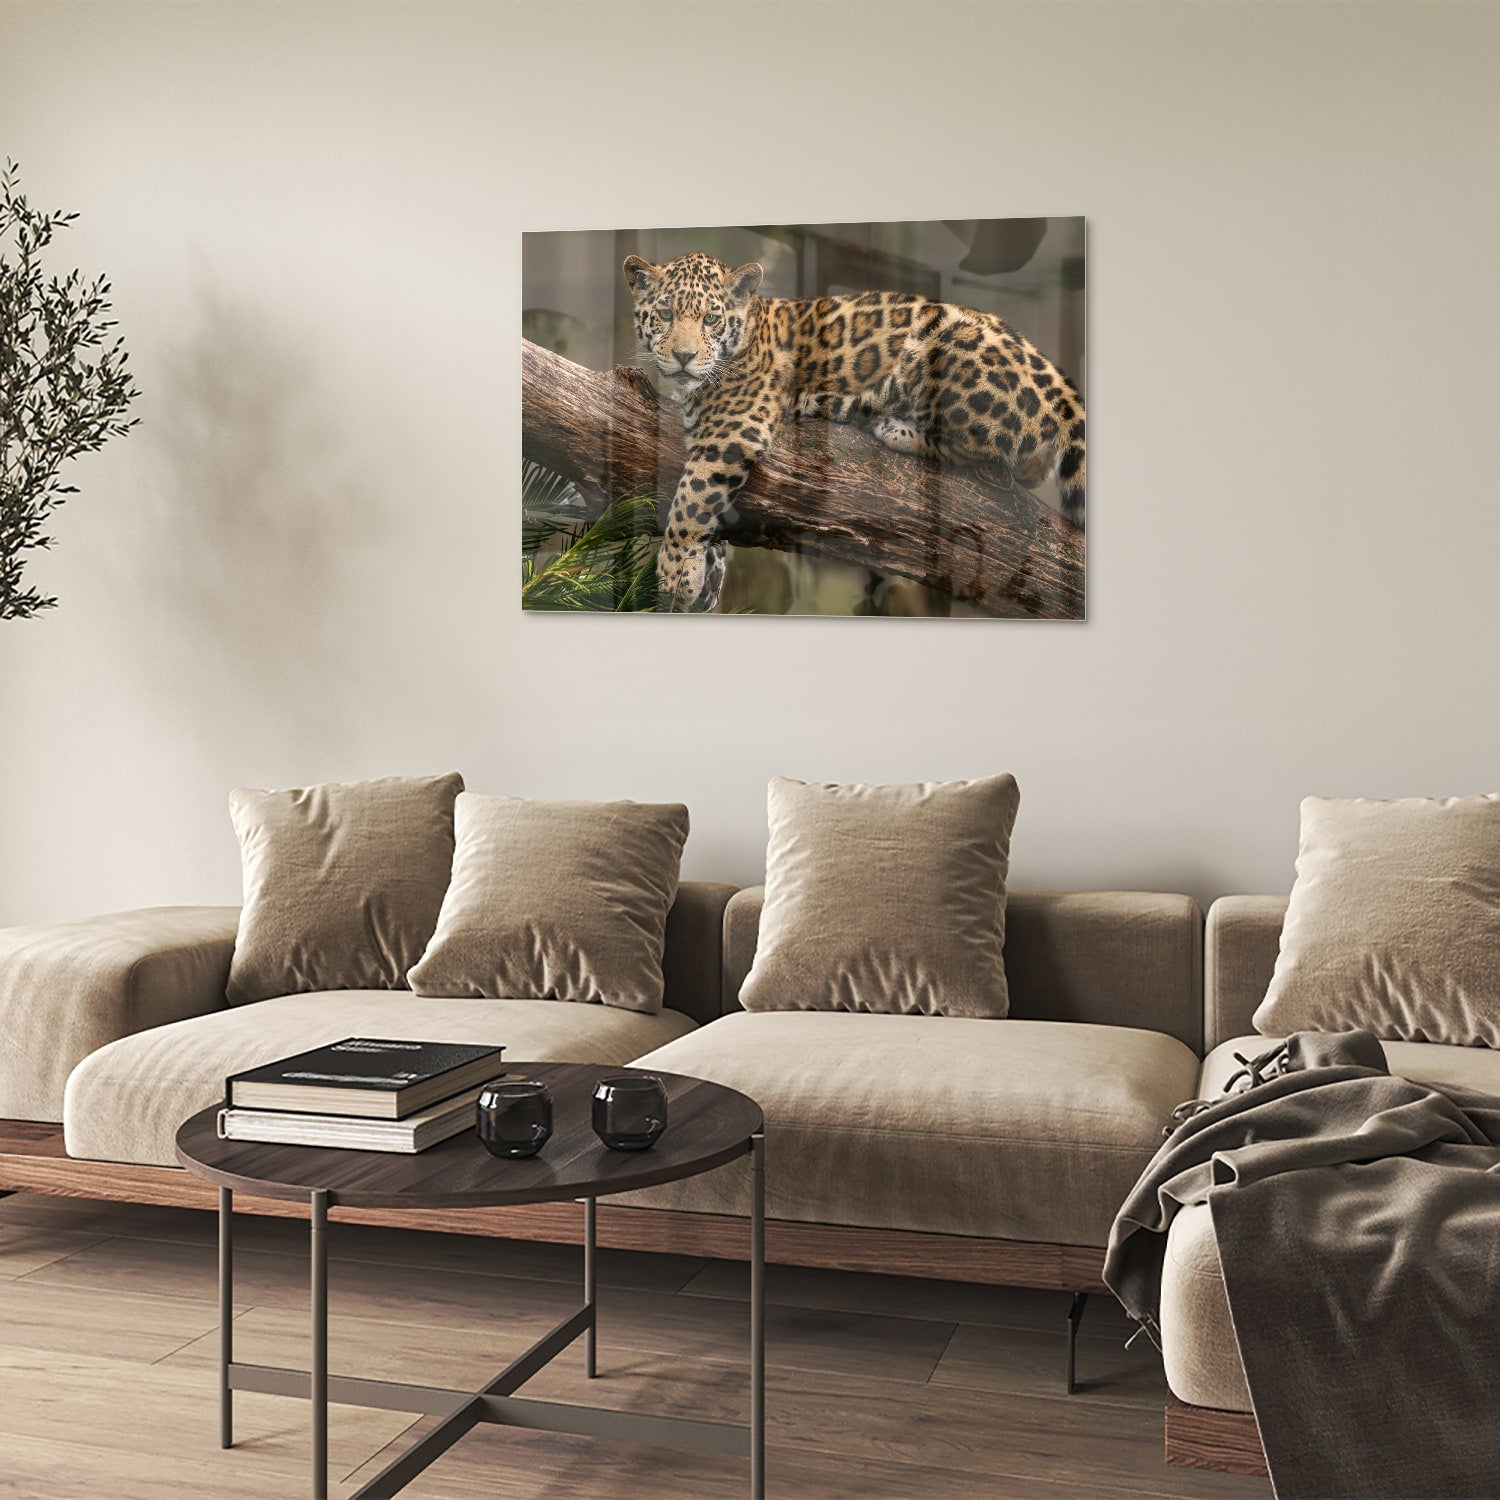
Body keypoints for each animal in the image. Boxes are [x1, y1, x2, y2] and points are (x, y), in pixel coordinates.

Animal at [623, 249, 1085, 613]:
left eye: (711, 318)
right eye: (665, 314)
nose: (684, 356)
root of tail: (1058, 382)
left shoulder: (733, 430)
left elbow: (691, 500)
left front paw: (674, 572)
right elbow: (712, 506)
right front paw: (707, 574)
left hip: (941, 347)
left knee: (987, 447)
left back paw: (884, 422)